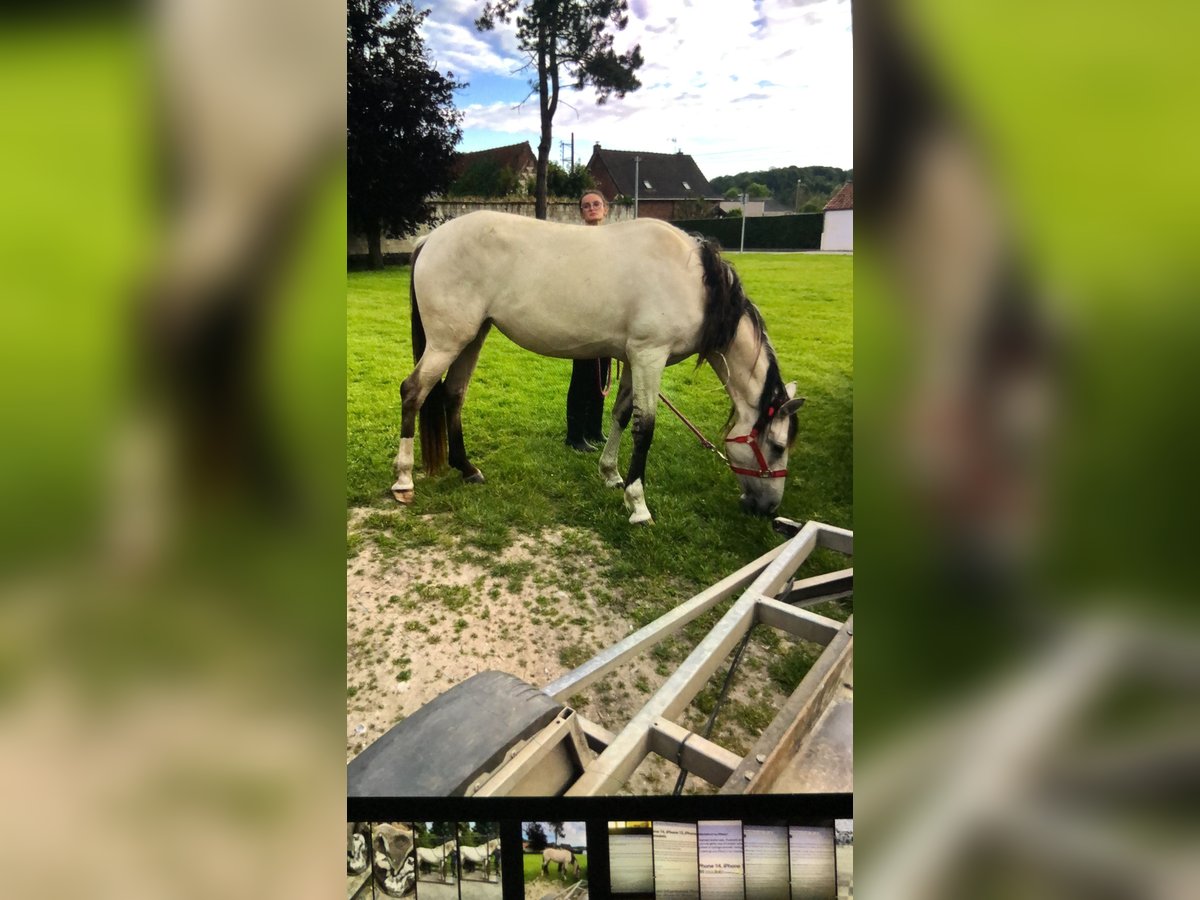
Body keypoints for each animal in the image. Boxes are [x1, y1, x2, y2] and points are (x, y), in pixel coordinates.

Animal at [393, 211, 806, 525]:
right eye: (777, 446)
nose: (768, 509)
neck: (695, 282)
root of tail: (431, 238)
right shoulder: (650, 356)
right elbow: (645, 428)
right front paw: (638, 506)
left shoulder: (632, 359)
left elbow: (622, 416)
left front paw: (611, 475)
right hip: (447, 341)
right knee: (413, 391)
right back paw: (403, 481)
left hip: (472, 337)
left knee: (453, 394)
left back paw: (467, 468)